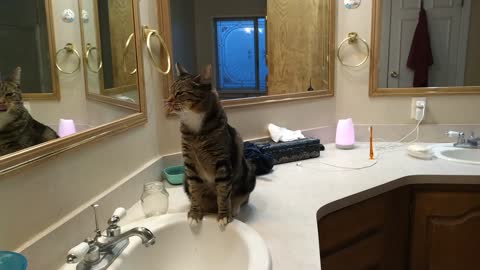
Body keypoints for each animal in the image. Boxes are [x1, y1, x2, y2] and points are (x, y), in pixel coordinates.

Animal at [167, 63, 256, 228]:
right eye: (170, 91)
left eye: (180, 93)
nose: (168, 101)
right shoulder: (189, 163)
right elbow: (195, 191)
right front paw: (195, 213)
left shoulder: (222, 162)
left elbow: (223, 192)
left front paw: (224, 215)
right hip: (184, 178)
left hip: (249, 171)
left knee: (242, 197)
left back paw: (234, 208)